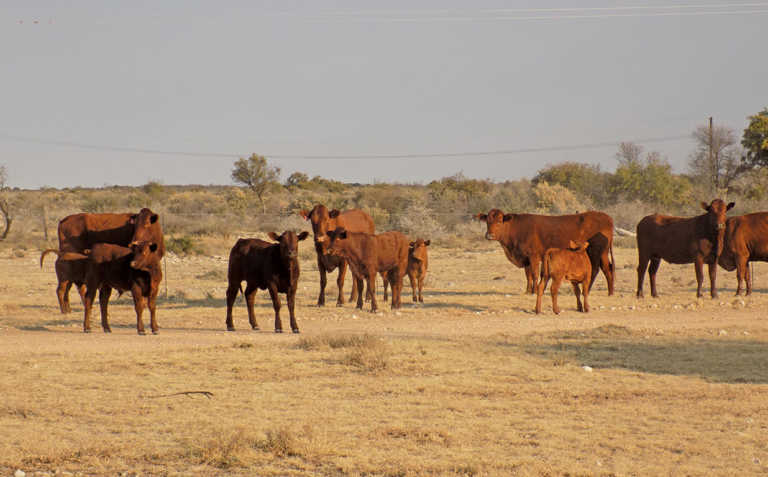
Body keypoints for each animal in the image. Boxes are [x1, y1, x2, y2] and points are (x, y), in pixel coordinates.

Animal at [476, 210, 616, 296]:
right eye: (487, 221)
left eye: (500, 221)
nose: (489, 235)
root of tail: (607, 217)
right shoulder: (526, 258)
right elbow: (528, 275)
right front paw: (528, 291)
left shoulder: (533, 256)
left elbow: (534, 274)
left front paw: (534, 291)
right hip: (601, 253)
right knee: (606, 268)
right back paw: (607, 292)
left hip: (597, 251)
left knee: (599, 269)